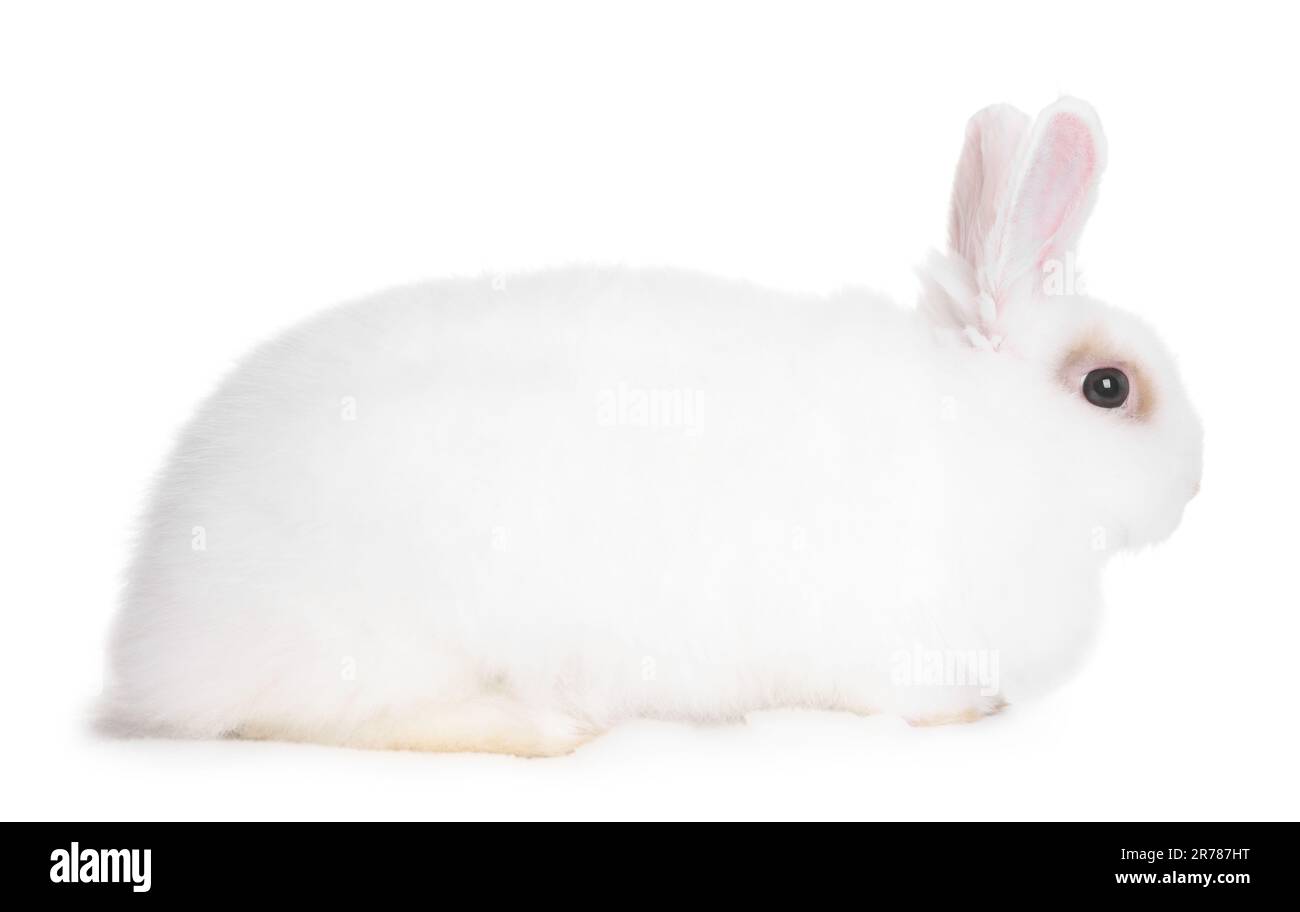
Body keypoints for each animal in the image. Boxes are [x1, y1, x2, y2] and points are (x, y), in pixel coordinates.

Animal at [102, 97, 1202, 756]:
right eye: (1109, 387)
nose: (1193, 482)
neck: (994, 435)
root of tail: (159, 629)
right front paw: (965, 715)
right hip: (392, 636)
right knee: (321, 714)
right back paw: (544, 730)